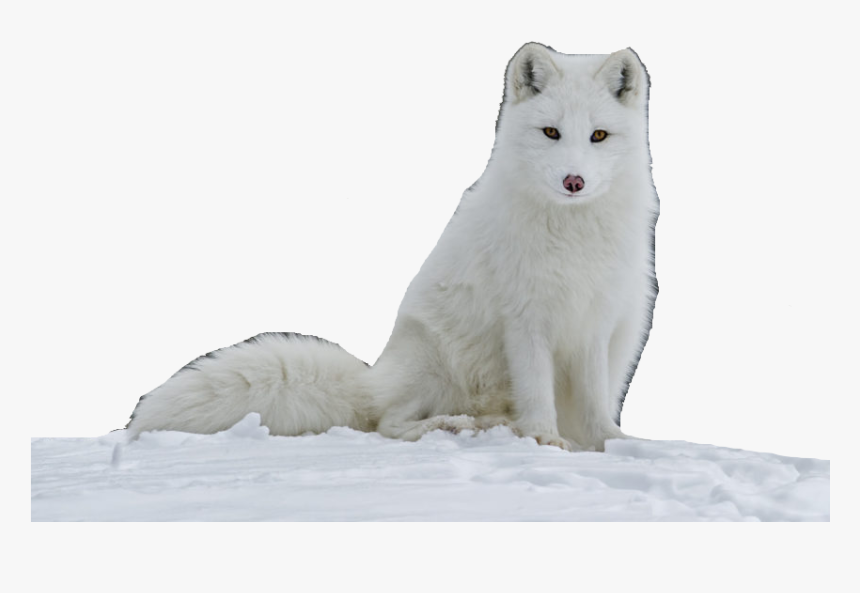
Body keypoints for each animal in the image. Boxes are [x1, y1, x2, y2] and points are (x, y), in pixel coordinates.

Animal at [126, 43, 659, 451]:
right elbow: (538, 395)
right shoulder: (525, 321)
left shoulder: (595, 323)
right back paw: (454, 425)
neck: (572, 234)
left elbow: (594, 404)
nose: (574, 181)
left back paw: (490, 424)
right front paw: (546, 440)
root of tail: (374, 378)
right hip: (433, 361)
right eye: (551, 132)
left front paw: (614, 444)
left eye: (598, 135)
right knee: (388, 423)